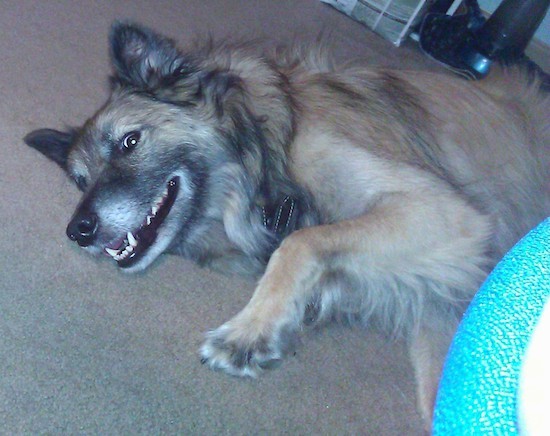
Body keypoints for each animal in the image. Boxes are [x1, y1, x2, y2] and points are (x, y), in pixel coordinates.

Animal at [23, 21, 548, 430]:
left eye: (130, 141)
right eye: (80, 180)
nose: (79, 230)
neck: (263, 160)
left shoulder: (442, 211)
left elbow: (300, 243)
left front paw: (249, 331)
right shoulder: (444, 308)